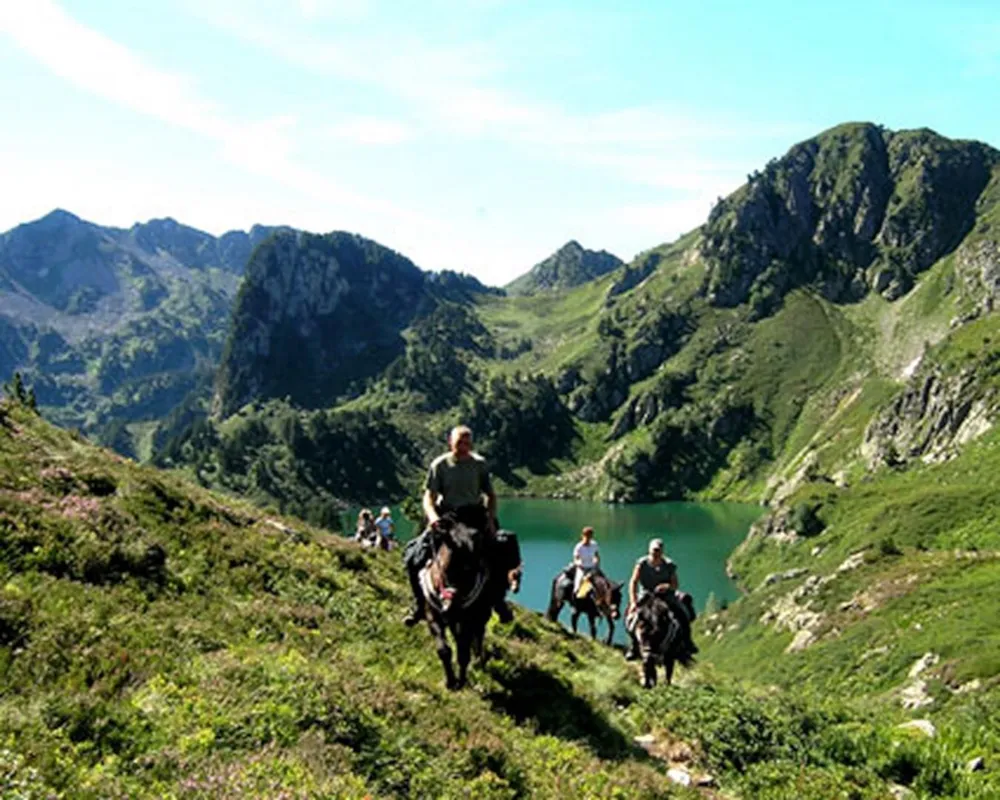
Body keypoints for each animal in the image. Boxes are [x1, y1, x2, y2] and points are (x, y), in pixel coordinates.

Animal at [418, 520, 524, 688]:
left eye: (473, 568)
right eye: (450, 560)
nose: (451, 603)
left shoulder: (468, 620)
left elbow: (464, 652)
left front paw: (461, 681)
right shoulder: (432, 615)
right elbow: (444, 649)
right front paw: (450, 681)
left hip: (481, 616)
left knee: (478, 636)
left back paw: (478, 660)